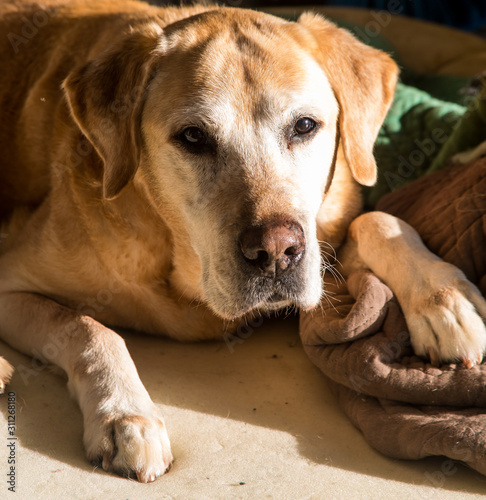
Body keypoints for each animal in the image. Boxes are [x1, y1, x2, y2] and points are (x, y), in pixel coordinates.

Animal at [0, 0, 486, 484]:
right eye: (193, 137)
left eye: (304, 125)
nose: (276, 253)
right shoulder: (12, 280)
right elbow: (87, 327)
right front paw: (125, 416)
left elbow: (377, 219)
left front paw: (444, 301)